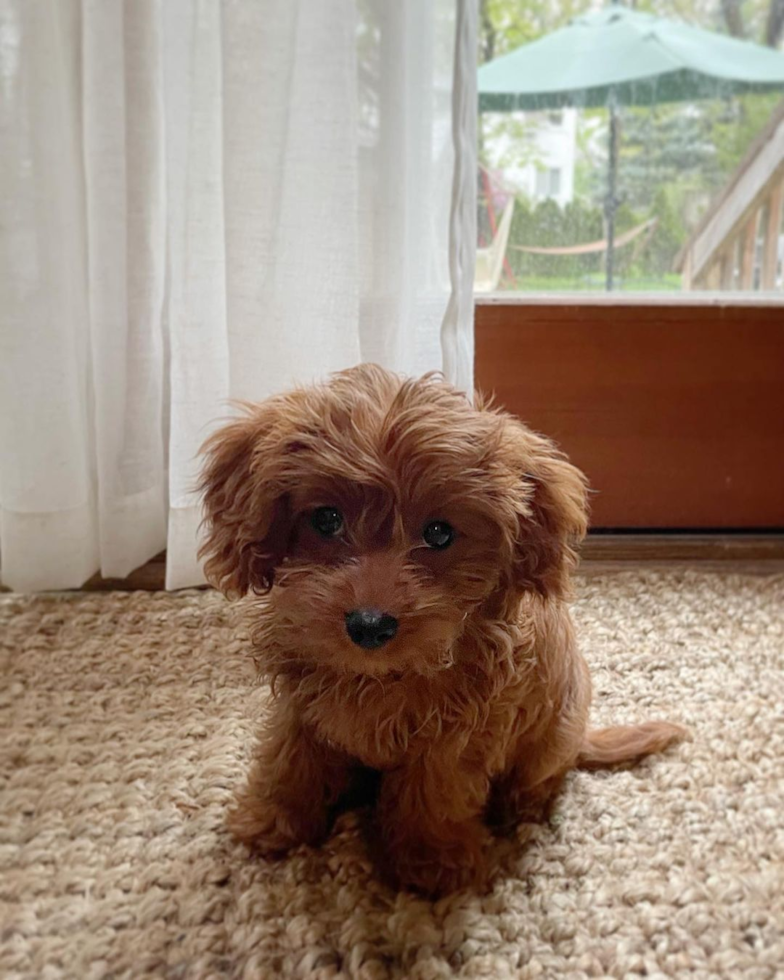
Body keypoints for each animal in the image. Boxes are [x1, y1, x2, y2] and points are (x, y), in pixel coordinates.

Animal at [199, 362, 684, 896]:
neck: (379, 677)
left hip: (554, 736)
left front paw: (431, 863)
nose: (369, 624)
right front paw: (271, 821)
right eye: (325, 519)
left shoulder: (459, 734)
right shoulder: (299, 707)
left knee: (542, 777)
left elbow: (433, 791)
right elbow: (288, 761)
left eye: (439, 533)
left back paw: (522, 810)